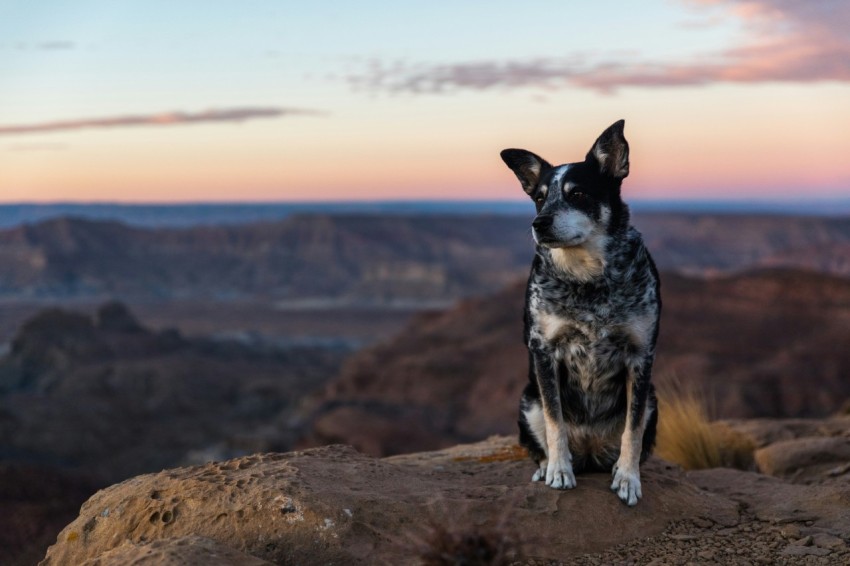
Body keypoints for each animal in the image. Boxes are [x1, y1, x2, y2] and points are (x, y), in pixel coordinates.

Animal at [500, 121, 660, 510]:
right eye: (539, 197)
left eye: (577, 194)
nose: (539, 223)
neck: (588, 279)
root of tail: (590, 450)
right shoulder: (545, 350)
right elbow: (554, 420)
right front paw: (559, 471)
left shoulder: (640, 355)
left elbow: (633, 429)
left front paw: (628, 478)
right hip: (527, 399)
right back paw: (549, 466)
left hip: (653, 398)